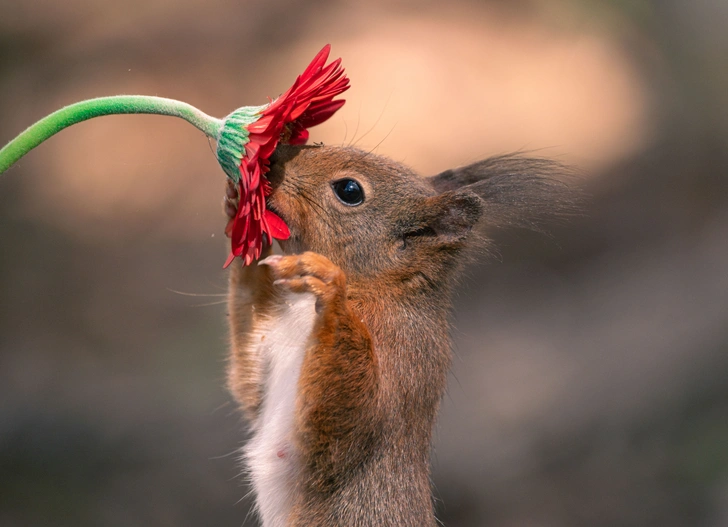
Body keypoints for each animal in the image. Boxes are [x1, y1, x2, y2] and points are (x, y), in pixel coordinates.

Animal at [222, 142, 576, 524]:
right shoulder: (270, 343)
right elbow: (248, 386)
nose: (271, 162)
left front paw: (330, 289)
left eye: (350, 190)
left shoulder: (402, 353)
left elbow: (341, 431)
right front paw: (235, 208)